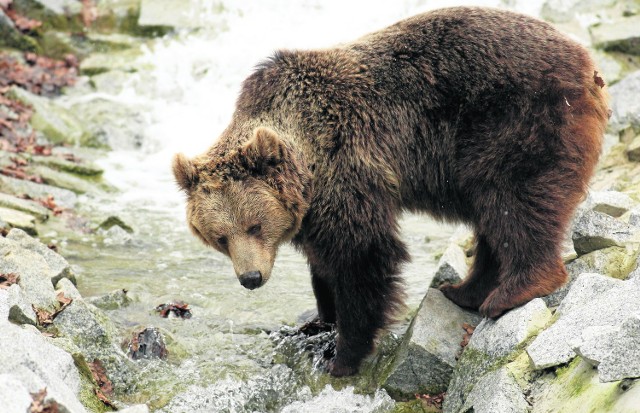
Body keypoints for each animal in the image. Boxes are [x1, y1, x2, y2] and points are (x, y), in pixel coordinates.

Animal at [172, 6, 608, 378]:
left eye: (255, 226)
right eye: (220, 237)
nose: (251, 278)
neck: (306, 158)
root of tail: (587, 62)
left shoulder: (345, 166)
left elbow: (362, 255)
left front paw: (343, 355)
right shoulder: (313, 206)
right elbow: (323, 264)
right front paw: (318, 322)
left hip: (515, 122)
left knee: (516, 202)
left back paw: (512, 291)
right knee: (494, 215)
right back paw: (464, 290)